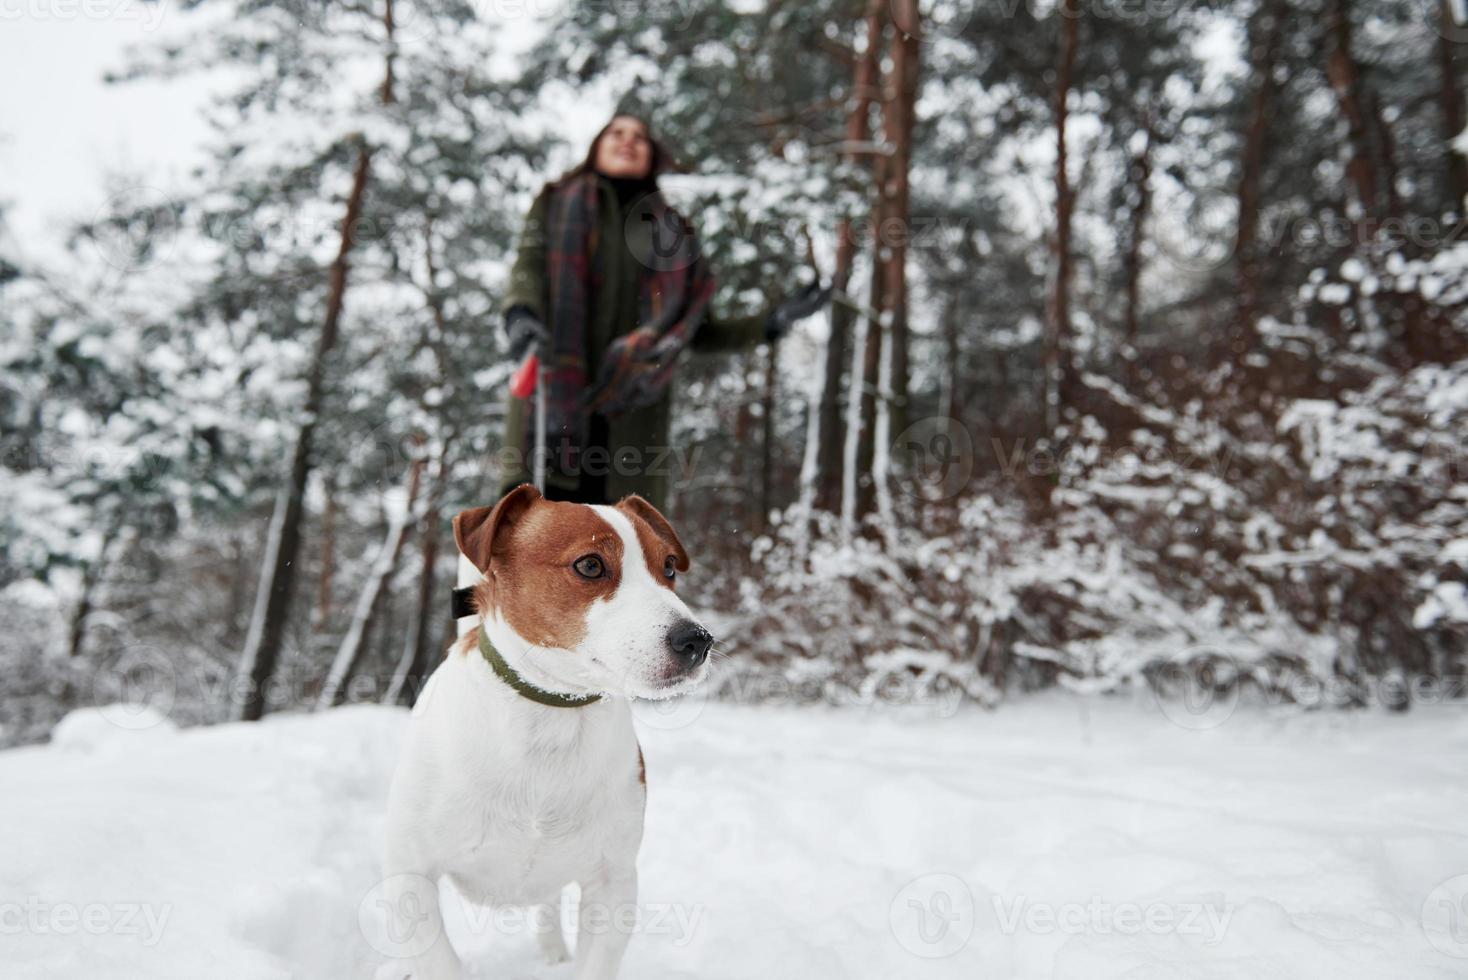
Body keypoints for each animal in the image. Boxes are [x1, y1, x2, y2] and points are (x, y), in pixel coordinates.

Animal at [381, 484, 713, 979]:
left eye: (669, 566)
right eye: (590, 565)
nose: (696, 640)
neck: (551, 711)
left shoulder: (612, 883)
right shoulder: (411, 876)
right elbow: (439, 961)